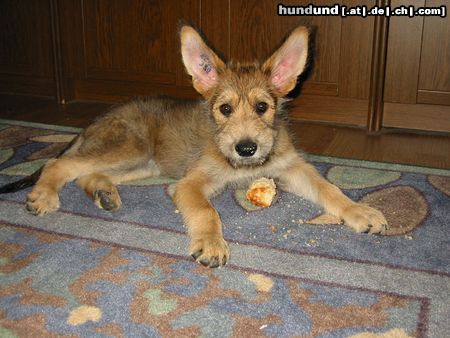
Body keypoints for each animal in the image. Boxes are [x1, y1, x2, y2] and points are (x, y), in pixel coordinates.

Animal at [3, 25, 386, 268]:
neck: (243, 167)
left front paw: (359, 211)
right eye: (225, 109)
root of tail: (98, 118)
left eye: (263, 107)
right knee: (58, 164)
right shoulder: (188, 184)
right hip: (131, 149)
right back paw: (44, 196)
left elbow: (329, 188)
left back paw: (103, 193)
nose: (246, 148)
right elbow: (206, 211)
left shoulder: (291, 167)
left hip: (146, 165)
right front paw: (212, 243)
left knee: (87, 173)